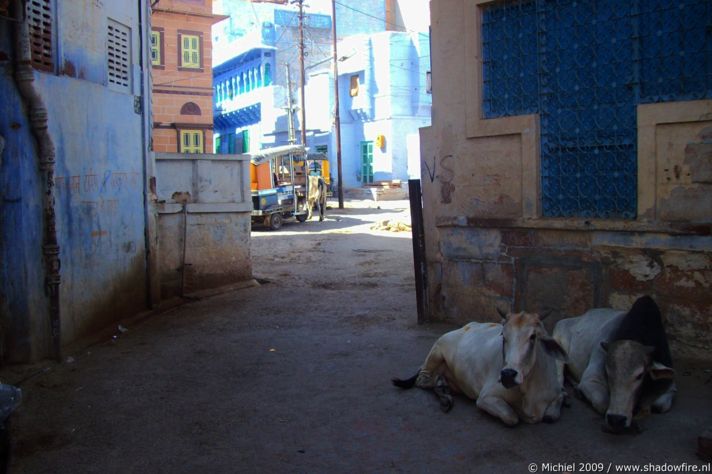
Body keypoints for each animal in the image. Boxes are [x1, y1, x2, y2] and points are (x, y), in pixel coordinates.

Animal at [392, 312, 564, 426]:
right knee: (423, 380)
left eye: (533, 336)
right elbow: (511, 417)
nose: (507, 375)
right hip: (436, 352)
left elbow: (554, 410)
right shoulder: (485, 397)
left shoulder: (556, 391)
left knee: (436, 380)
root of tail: (465, 326)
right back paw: (444, 396)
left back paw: (445, 394)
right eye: (503, 336)